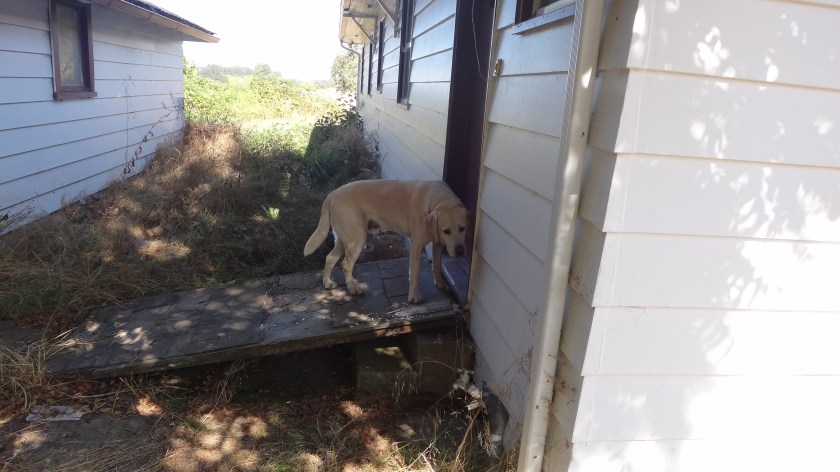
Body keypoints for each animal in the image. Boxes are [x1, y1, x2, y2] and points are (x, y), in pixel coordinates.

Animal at [304, 179, 469, 303]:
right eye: (446, 231)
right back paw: (353, 288)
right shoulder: (416, 244)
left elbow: (436, 265)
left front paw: (440, 283)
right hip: (356, 239)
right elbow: (415, 273)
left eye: (463, 228)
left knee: (330, 258)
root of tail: (334, 192)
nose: (460, 251)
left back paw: (327, 283)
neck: (438, 200)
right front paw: (414, 296)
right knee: (345, 264)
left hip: (345, 240)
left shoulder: (438, 244)